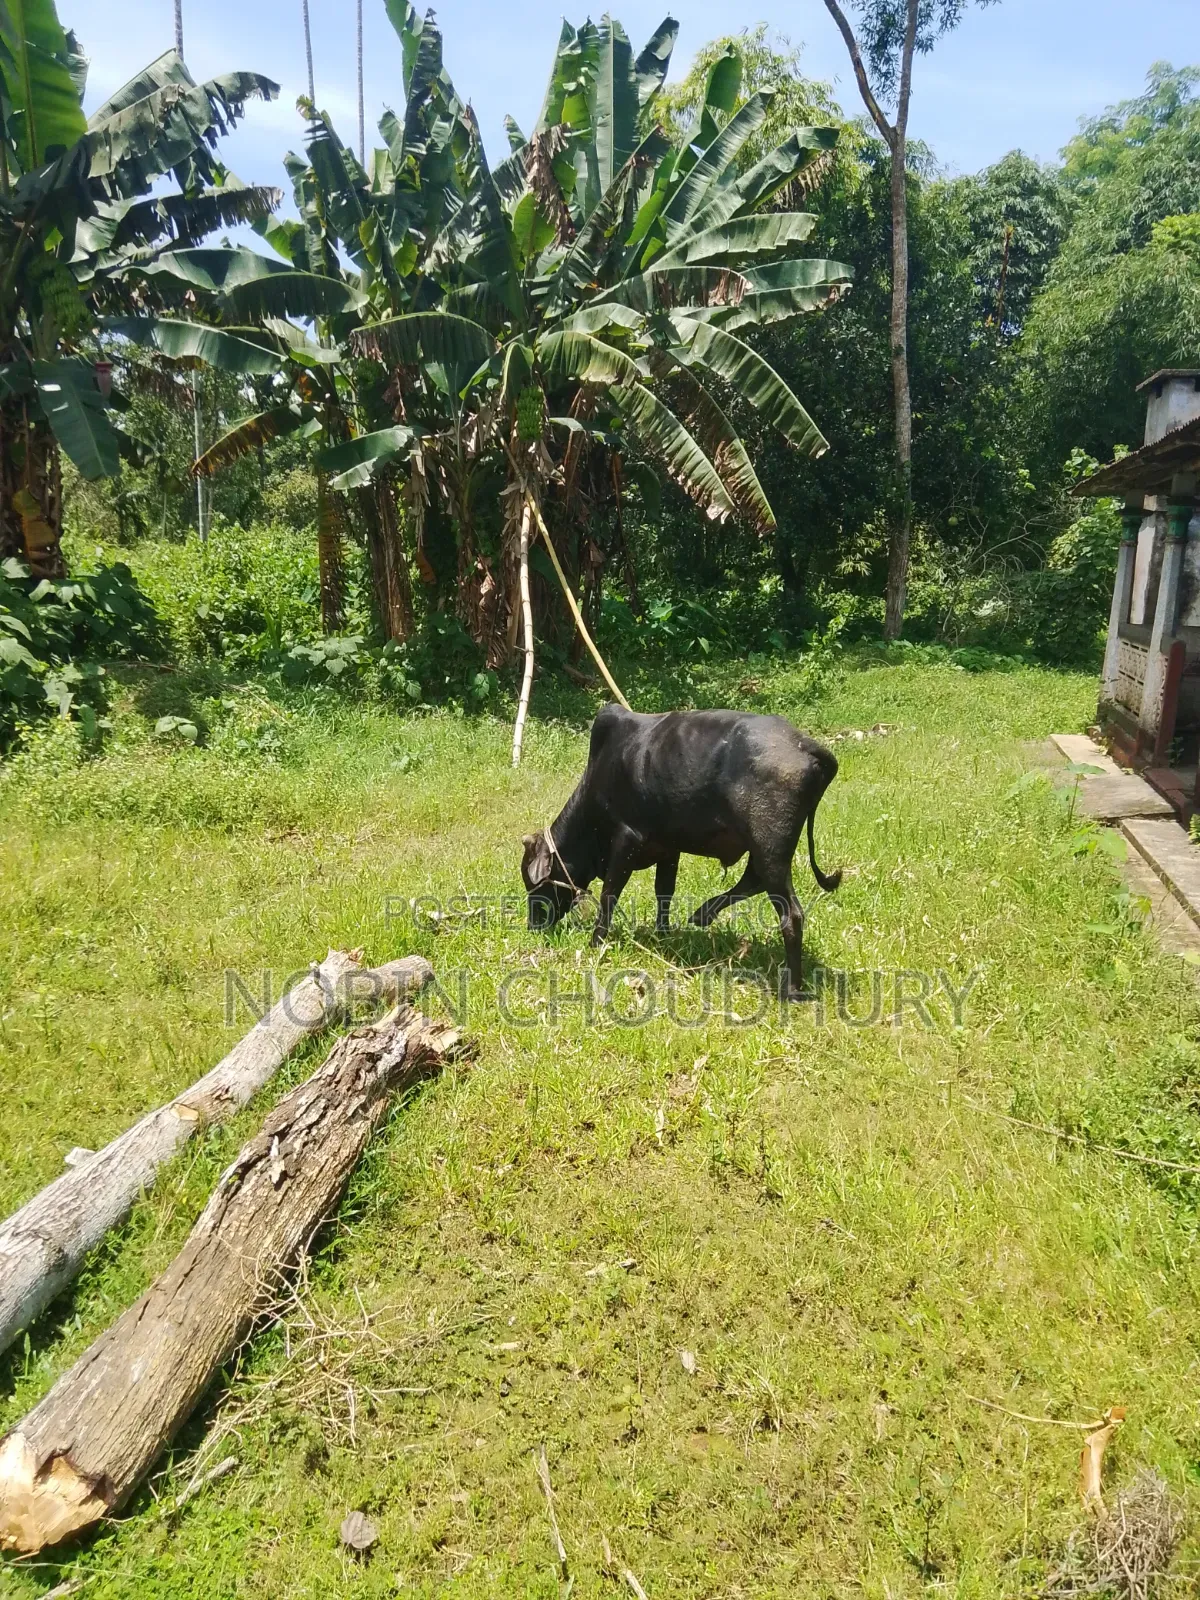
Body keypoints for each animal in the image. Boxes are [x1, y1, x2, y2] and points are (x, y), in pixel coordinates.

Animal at [520, 704, 841, 1000]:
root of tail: (804, 743)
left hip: (770, 848)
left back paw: (791, 989)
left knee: (790, 914)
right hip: (765, 851)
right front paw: (662, 934)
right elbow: (664, 891)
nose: (534, 926)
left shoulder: (627, 837)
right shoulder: (668, 848)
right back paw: (703, 914)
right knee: (752, 881)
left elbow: (610, 893)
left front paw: (596, 941)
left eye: (535, 884)